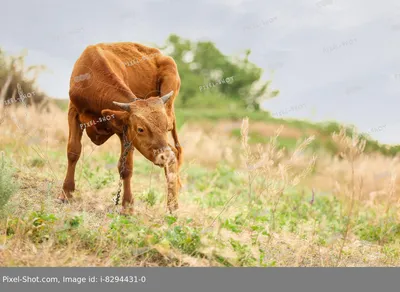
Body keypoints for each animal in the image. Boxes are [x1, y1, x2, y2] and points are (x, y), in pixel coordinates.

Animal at [58, 41, 184, 214]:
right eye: (140, 129)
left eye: (165, 127)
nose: (163, 156)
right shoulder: (73, 112)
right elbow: (73, 151)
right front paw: (66, 193)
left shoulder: (124, 131)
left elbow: (126, 168)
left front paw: (127, 207)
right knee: (174, 153)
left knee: (174, 154)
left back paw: (173, 204)